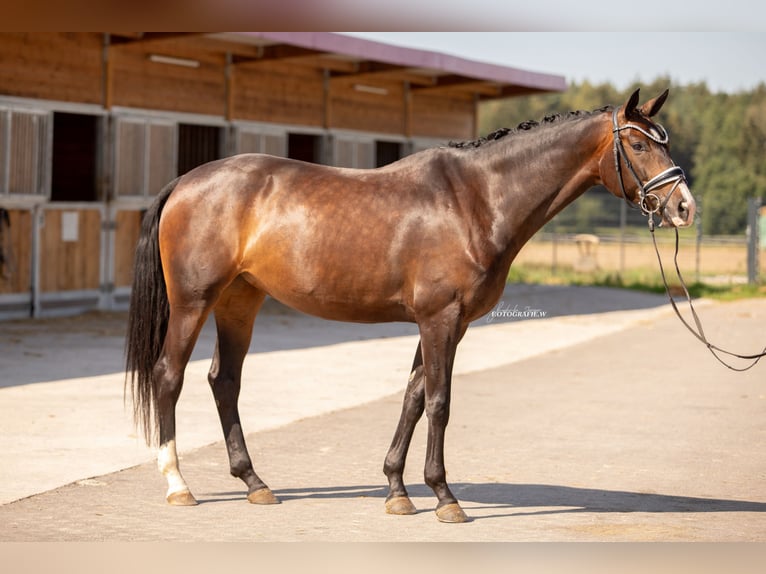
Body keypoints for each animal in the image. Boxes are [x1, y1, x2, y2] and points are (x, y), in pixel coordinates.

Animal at [127, 88, 704, 524]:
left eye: (662, 141)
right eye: (637, 143)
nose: (684, 207)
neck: (476, 198)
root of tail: (186, 181)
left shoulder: (448, 324)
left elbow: (412, 397)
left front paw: (397, 491)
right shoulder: (439, 320)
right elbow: (440, 403)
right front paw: (444, 497)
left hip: (240, 301)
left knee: (224, 380)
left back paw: (254, 482)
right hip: (194, 302)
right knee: (168, 375)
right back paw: (178, 484)